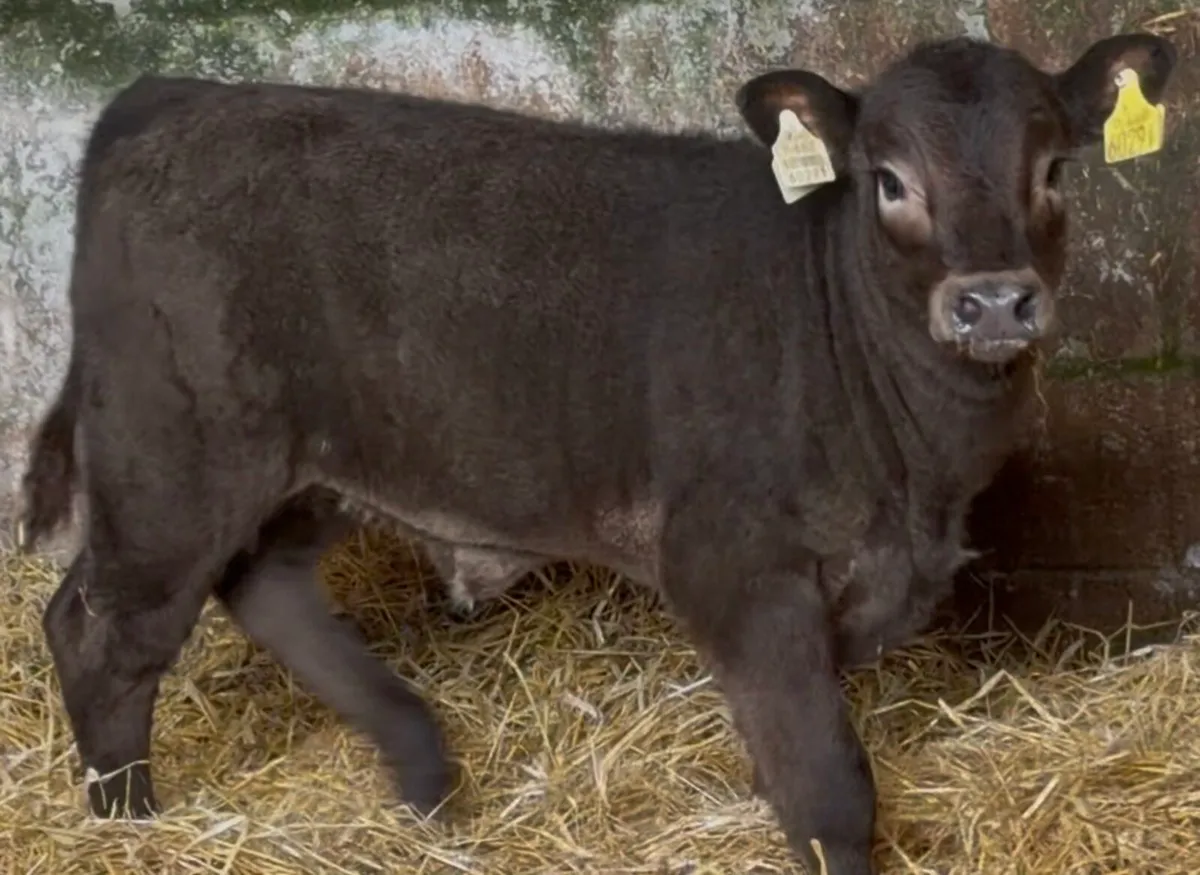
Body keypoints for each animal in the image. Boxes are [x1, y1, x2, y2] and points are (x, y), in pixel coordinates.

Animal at [16, 31, 1176, 875]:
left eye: (1055, 168)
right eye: (889, 180)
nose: (993, 301)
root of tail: (173, 95)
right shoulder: (736, 571)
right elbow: (830, 793)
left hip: (312, 460)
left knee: (262, 585)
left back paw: (422, 767)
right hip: (171, 451)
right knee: (101, 630)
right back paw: (130, 826)